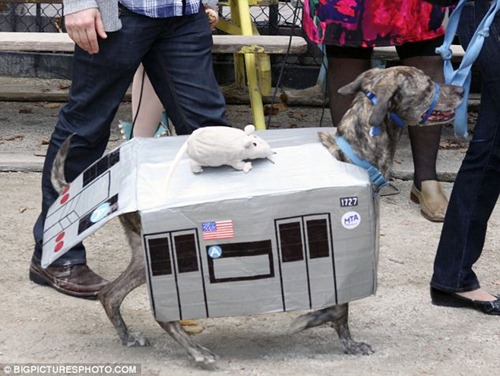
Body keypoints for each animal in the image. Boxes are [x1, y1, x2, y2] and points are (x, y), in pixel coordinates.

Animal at [48, 66, 462, 366]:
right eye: (428, 84)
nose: (459, 89)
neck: (352, 151)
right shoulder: (342, 253)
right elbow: (340, 308)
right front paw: (322, 327)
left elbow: (338, 306)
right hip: (160, 260)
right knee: (162, 313)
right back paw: (197, 353)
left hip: (141, 257)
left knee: (109, 295)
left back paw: (128, 336)